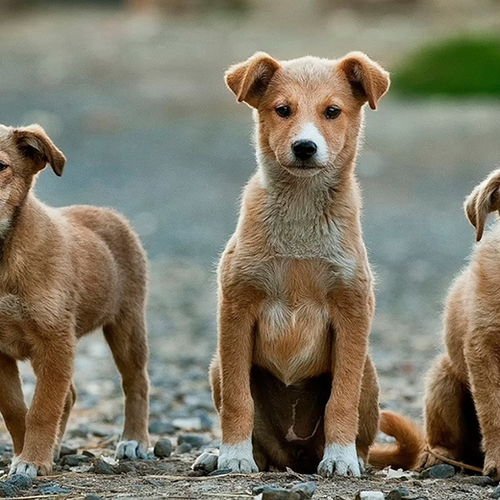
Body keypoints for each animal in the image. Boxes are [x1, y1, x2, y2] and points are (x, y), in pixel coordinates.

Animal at [0, 125, 149, 476]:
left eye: (1, 167)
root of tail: (108, 212)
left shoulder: (55, 340)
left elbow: (42, 409)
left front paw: (31, 460)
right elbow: (15, 409)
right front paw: (23, 455)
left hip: (127, 325)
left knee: (136, 382)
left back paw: (134, 441)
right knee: (68, 395)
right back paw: (54, 449)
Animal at [193, 50, 424, 476]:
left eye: (332, 112)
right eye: (283, 110)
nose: (304, 147)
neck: (300, 213)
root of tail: (295, 455)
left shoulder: (352, 310)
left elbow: (341, 400)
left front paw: (340, 458)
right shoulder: (236, 307)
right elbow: (237, 398)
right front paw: (233, 455)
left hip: (368, 371)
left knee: (360, 430)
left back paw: (351, 456)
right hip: (217, 365)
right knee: (260, 444)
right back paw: (221, 454)